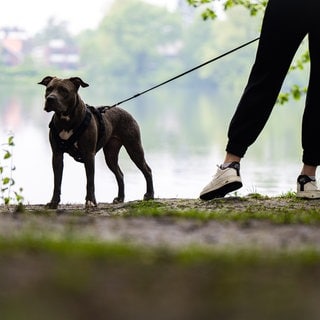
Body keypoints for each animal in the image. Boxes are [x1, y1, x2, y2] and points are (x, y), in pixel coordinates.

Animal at [38, 76, 154, 209]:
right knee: (120, 174)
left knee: (147, 170)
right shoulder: (57, 155)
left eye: (64, 90)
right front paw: (53, 202)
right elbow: (57, 182)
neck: (66, 120)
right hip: (110, 155)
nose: (50, 98)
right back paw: (120, 198)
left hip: (134, 148)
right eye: (49, 89)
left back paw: (150, 195)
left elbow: (90, 181)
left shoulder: (89, 155)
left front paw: (90, 201)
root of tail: (125, 111)